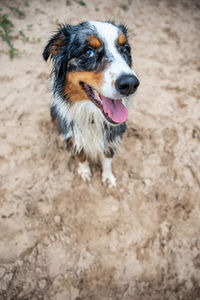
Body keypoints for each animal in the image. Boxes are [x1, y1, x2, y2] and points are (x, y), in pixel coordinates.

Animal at [42, 19, 139, 186]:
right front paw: (85, 172)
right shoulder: (75, 134)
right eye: (88, 52)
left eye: (126, 50)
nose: (130, 84)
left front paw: (108, 177)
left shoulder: (112, 135)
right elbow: (81, 155)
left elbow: (107, 158)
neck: (93, 116)